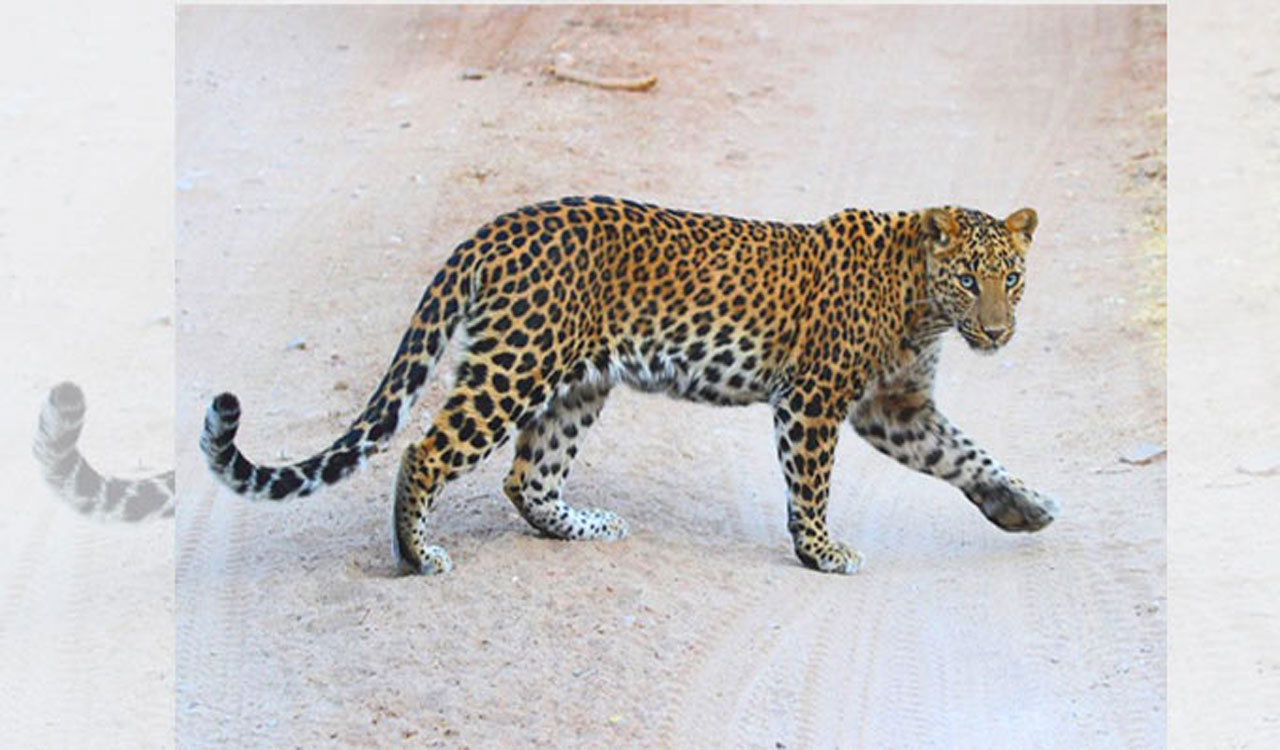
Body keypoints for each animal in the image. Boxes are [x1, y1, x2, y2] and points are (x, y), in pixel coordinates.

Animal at [201, 196, 1058, 575]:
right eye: (968, 278)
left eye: (1012, 280)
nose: (997, 332)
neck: (921, 305)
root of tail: (493, 230)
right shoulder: (814, 401)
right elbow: (812, 486)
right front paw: (820, 551)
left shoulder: (895, 407)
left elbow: (965, 454)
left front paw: (1023, 506)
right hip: (516, 365)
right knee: (428, 450)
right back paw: (418, 555)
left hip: (576, 382)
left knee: (526, 478)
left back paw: (585, 526)